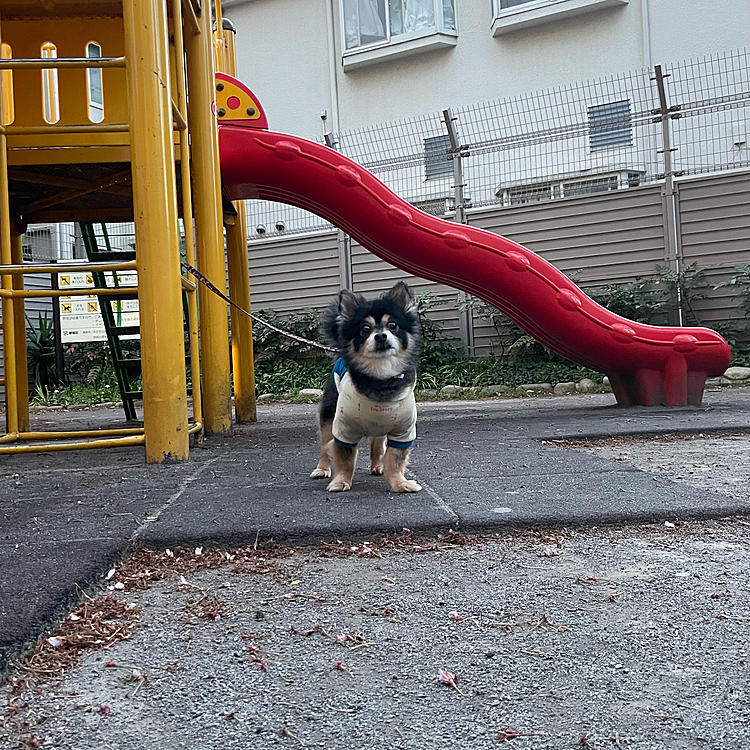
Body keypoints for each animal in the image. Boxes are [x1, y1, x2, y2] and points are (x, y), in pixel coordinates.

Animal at [312, 282, 424, 494]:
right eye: (365, 329)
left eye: (393, 325)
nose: (380, 336)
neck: (381, 377)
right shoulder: (343, 430)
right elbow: (345, 458)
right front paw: (341, 481)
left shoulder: (403, 432)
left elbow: (394, 460)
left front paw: (400, 483)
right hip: (329, 417)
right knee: (324, 446)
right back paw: (322, 468)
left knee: (378, 444)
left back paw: (377, 466)